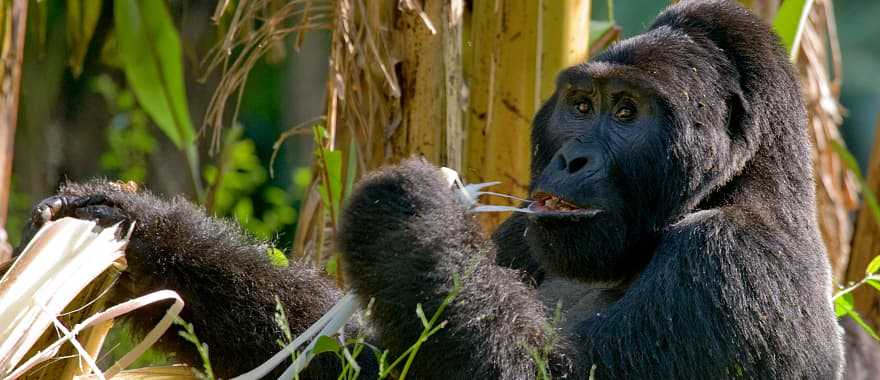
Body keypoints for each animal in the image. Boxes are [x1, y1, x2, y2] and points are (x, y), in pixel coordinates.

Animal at [8, 0, 852, 378]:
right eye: (581, 105)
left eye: (626, 113)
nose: (573, 159)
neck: (739, 184)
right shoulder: (522, 234)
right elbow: (354, 357)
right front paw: (144, 231)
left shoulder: (732, 265)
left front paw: (407, 213)